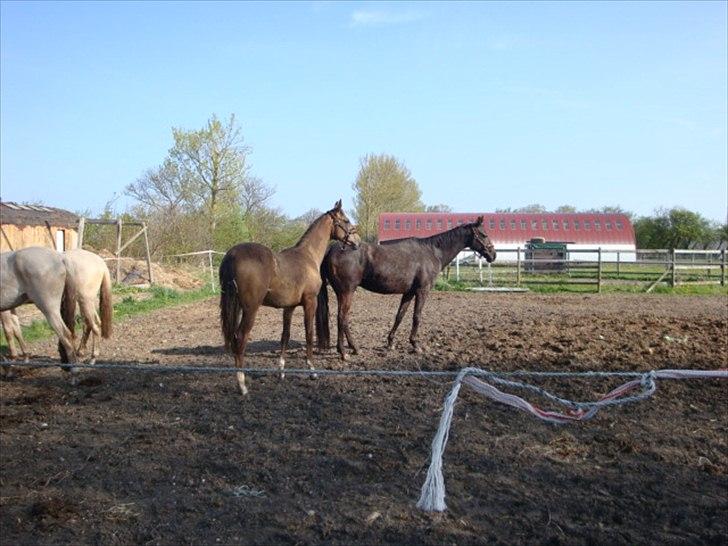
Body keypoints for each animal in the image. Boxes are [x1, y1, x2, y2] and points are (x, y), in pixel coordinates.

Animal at [219, 198, 362, 394]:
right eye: (346, 220)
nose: (358, 242)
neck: (308, 256)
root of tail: (231, 255)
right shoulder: (310, 302)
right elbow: (309, 333)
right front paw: (312, 370)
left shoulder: (289, 307)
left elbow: (285, 336)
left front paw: (281, 371)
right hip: (250, 309)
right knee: (240, 337)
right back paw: (242, 385)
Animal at [316, 215, 498, 360]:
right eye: (483, 234)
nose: (493, 255)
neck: (432, 251)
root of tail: (331, 249)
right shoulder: (422, 291)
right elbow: (416, 317)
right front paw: (415, 345)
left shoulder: (409, 293)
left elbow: (400, 316)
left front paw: (390, 342)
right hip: (346, 292)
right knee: (342, 318)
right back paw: (344, 351)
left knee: (344, 319)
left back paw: (354, 348)